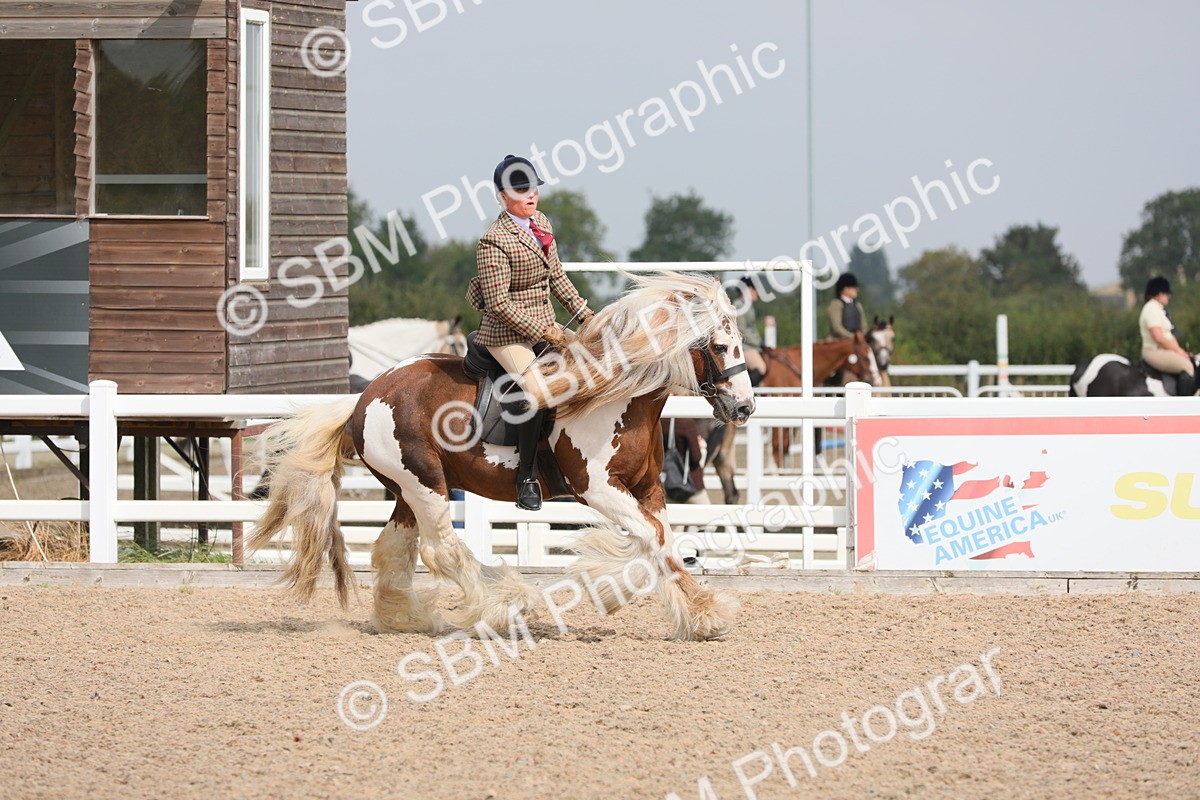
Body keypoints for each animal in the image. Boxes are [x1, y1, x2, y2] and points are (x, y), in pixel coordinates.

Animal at [248, 273, 755, 641]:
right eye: (720, 346)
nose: (745, 408)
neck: (617, 398)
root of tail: (365, 397)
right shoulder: (598, 489)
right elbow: (652, 538)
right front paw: (679, 604)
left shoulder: (648, 489)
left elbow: (661, 542)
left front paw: (694, 612)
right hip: (425, 484)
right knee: (440, 549)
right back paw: (503, 604)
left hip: (407, 490)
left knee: (394, 550)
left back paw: (409, 620)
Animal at [706, 333, 878, 504]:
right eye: (865, 357)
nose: (876, 380)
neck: (795, 367)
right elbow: (778, 444)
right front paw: (777, 472)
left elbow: (784, 444)